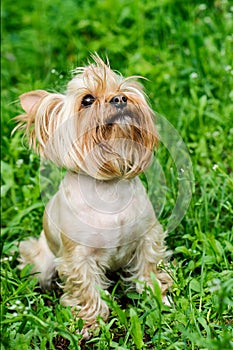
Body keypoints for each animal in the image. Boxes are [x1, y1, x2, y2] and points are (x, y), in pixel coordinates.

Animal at [14, 55, 171, 330]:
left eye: (121, 88)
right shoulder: (78, 258)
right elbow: (86, 289)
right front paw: (90, 323)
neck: (109, 188)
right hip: (41, 259)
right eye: (87, 100)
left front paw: (157, 295)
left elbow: (148, 266)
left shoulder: (147, 236)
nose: (120, 99)